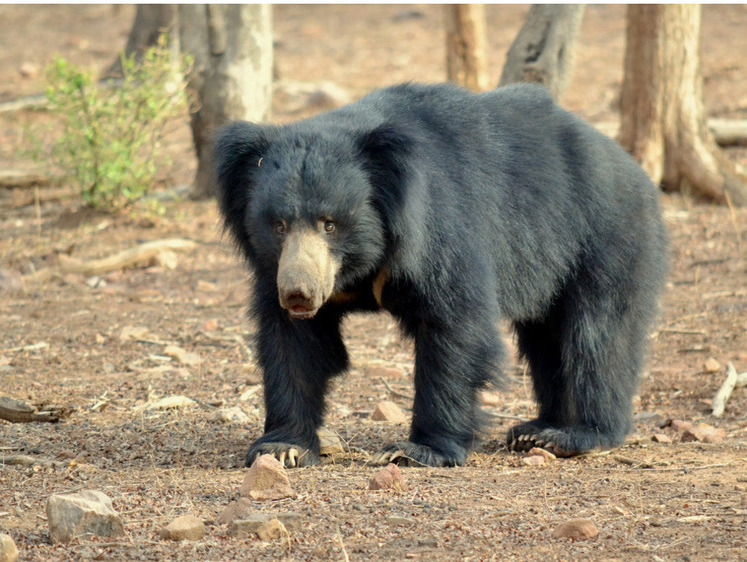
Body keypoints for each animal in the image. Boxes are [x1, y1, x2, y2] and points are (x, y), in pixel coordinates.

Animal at [213, 81, 668, 466]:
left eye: (330, 224)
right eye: (278, 225)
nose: (299, 294)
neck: (362, 265)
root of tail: (634, 168)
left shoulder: (440, 227)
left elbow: (455, 325)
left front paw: (417, 450)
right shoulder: (278, 268)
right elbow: (294, 343)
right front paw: (283, 446)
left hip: (605, 237)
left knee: (597, 335)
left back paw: (577, 434)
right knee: (547, 339)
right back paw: (537, 430)